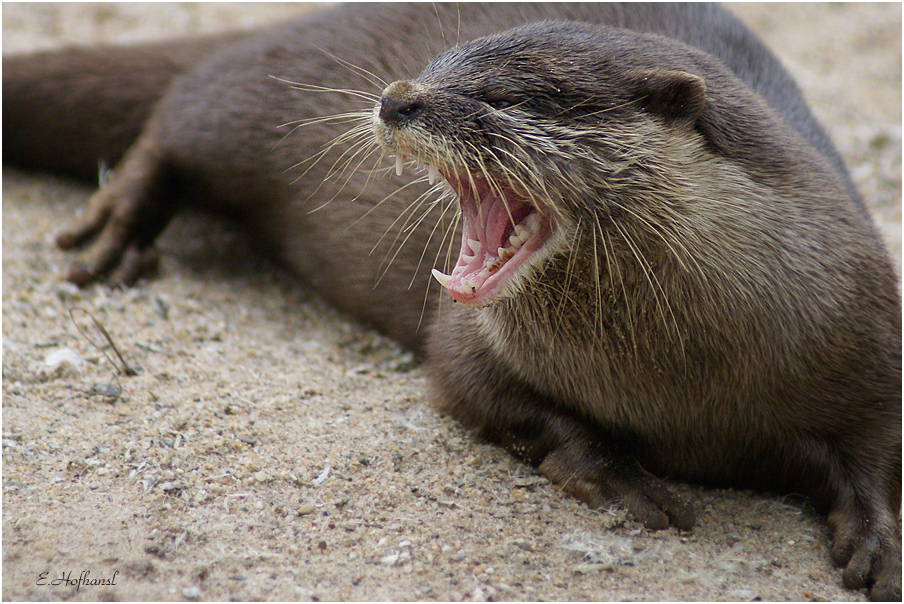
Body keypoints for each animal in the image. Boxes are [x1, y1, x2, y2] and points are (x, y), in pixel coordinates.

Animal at [3, 3, 900, 600]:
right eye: (440, 66)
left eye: (511, 99)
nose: (397, 95)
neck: (681, 382)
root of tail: (283, 25)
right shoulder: (473, 344)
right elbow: (488, 395)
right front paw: (622, 478)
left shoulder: (869, 332)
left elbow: (874, 452)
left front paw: (874, 535)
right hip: (243, 106)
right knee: (177, 119)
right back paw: (115, 229)